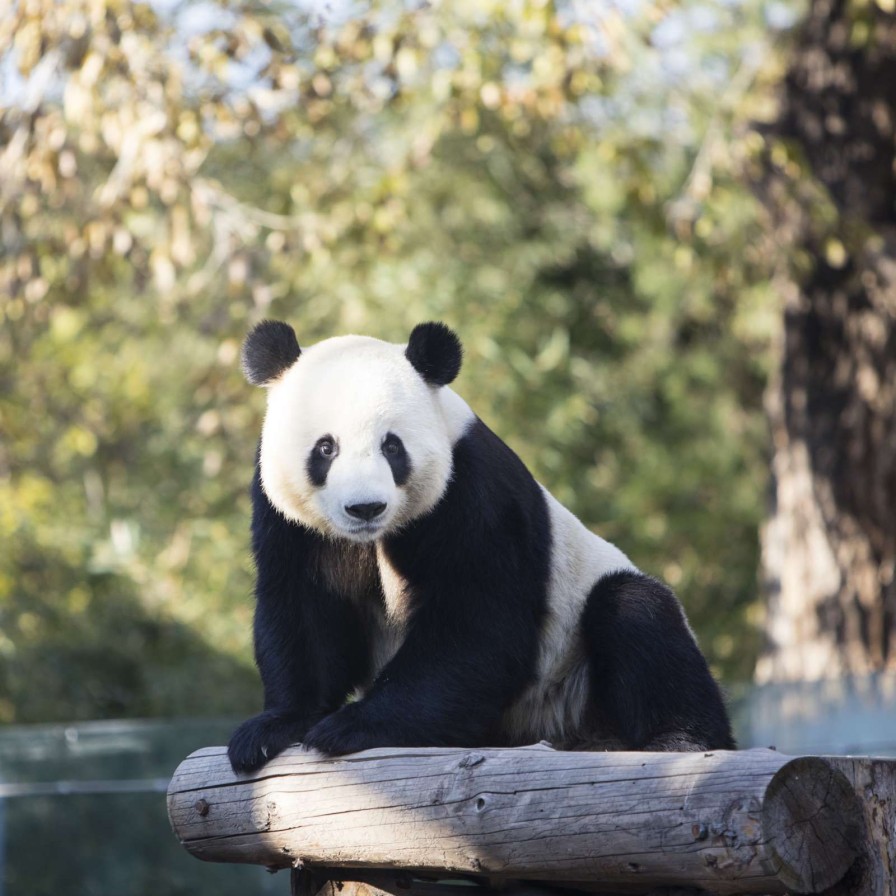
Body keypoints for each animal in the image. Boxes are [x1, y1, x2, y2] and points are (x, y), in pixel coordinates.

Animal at [226, 318, 736, 772]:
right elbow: (304, 610)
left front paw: (350, 726)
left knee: (638, 616)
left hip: (571, 665)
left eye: (392, 447)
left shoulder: (476, 494)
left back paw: (676, 741)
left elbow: (476, 625)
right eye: (325, 448)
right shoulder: (289, 519)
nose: (365, 507)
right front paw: (272, 728)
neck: (377, 536)